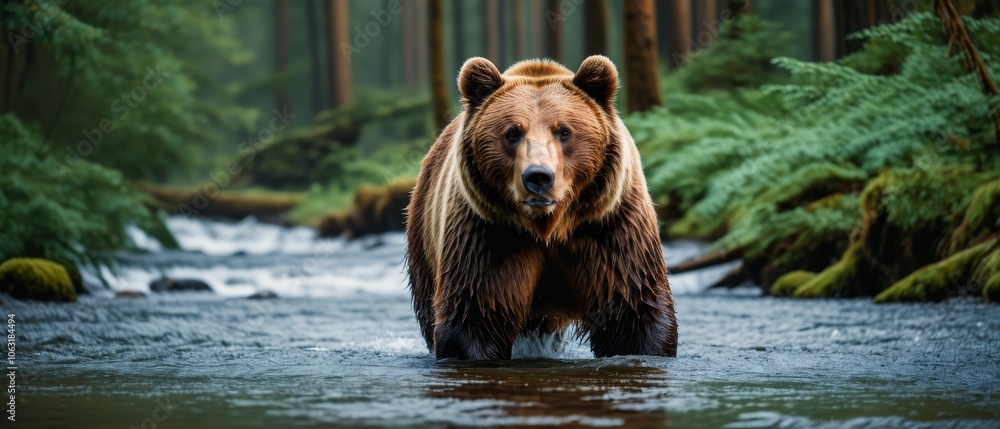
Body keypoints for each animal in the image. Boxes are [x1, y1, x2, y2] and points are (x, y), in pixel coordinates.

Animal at [405, 55, 677, 361]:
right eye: (512, 132)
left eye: (564, 131)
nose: (538, 177)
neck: (548, 226)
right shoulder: (487, 235)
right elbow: (476, 313)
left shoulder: (609, 229)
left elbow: (632, 312)